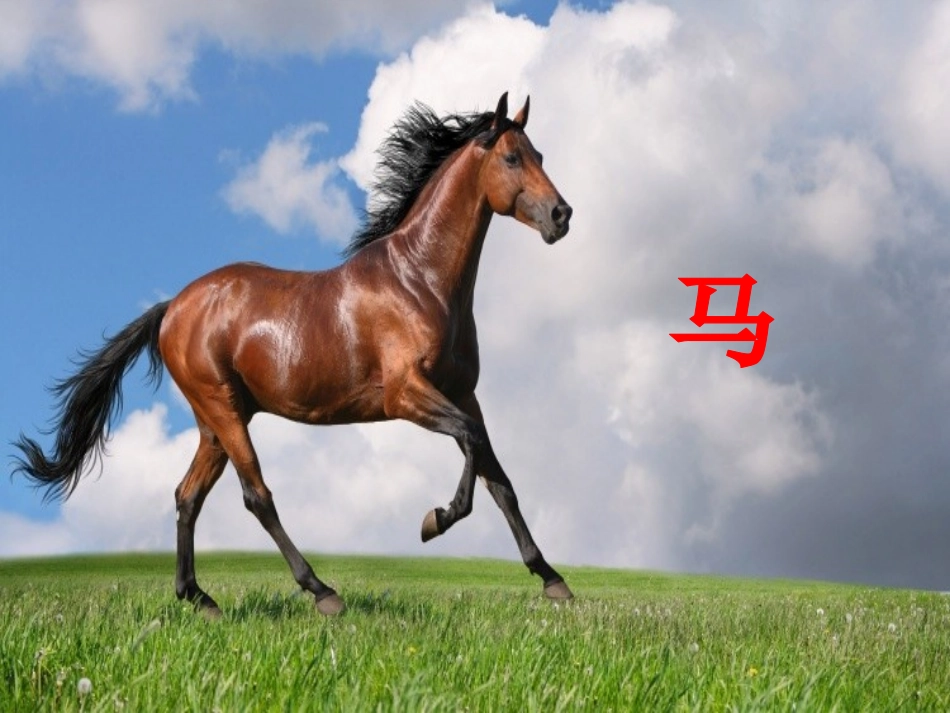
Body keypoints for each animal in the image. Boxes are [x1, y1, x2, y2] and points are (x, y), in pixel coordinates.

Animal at [13, 92, 574, 616]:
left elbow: (498, 478)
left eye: (540, 154)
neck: (420, 280)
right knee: (256, 496)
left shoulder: (463, 393)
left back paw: (199, 597)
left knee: (187, 496)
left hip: (216, 423)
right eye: (512, 158)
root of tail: (173, 307)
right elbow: (471, 444)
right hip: (223, 410)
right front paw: (434, 521)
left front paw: (552, 579)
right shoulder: (405, 395)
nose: (561, 215)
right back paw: (322, 591)